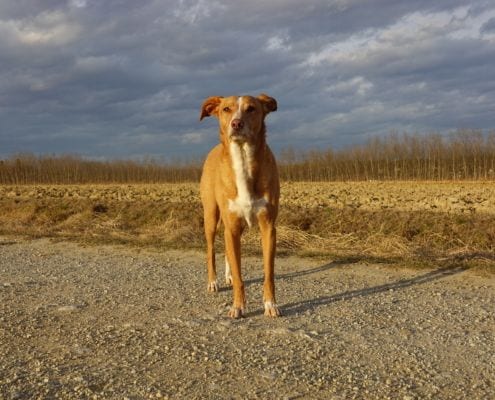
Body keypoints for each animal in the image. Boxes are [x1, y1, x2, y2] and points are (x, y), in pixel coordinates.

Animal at [200, 94, 280, 318]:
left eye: (251, 108)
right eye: (226, 109)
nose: (236, 124)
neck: (243, 160)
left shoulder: (268, 227)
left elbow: (268, 273)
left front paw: (270, 304)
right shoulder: (232, 227)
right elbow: (238, 275)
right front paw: (238, 306)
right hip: (211, 217)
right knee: (211, 250)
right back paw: (213, 282)